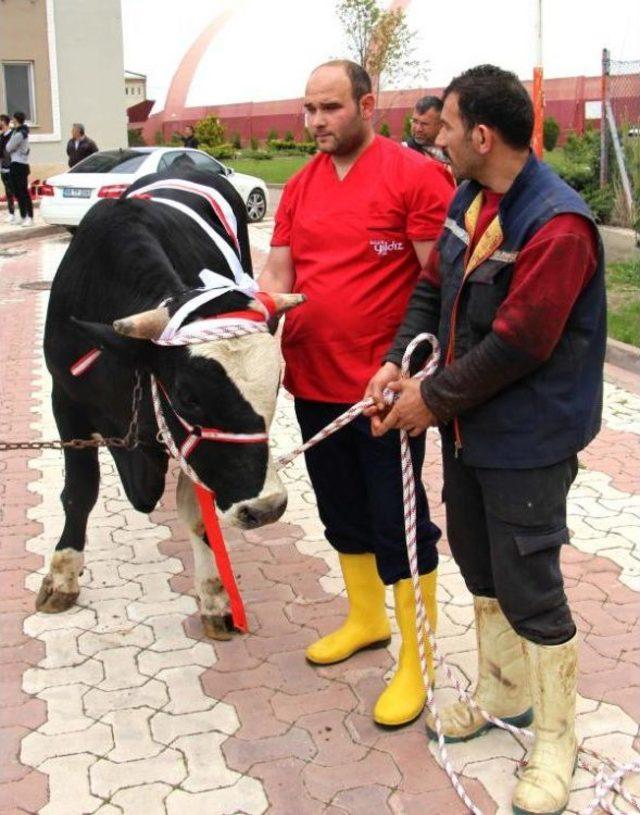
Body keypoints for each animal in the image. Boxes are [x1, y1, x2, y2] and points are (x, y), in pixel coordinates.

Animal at [41, 166, 304, 636]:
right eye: (188, 396)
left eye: (277, 383)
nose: (266, 508)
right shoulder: (65, 400)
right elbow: (79, 491)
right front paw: (63, 575)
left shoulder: (187, 443)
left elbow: (196, 512)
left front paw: (215, 596)